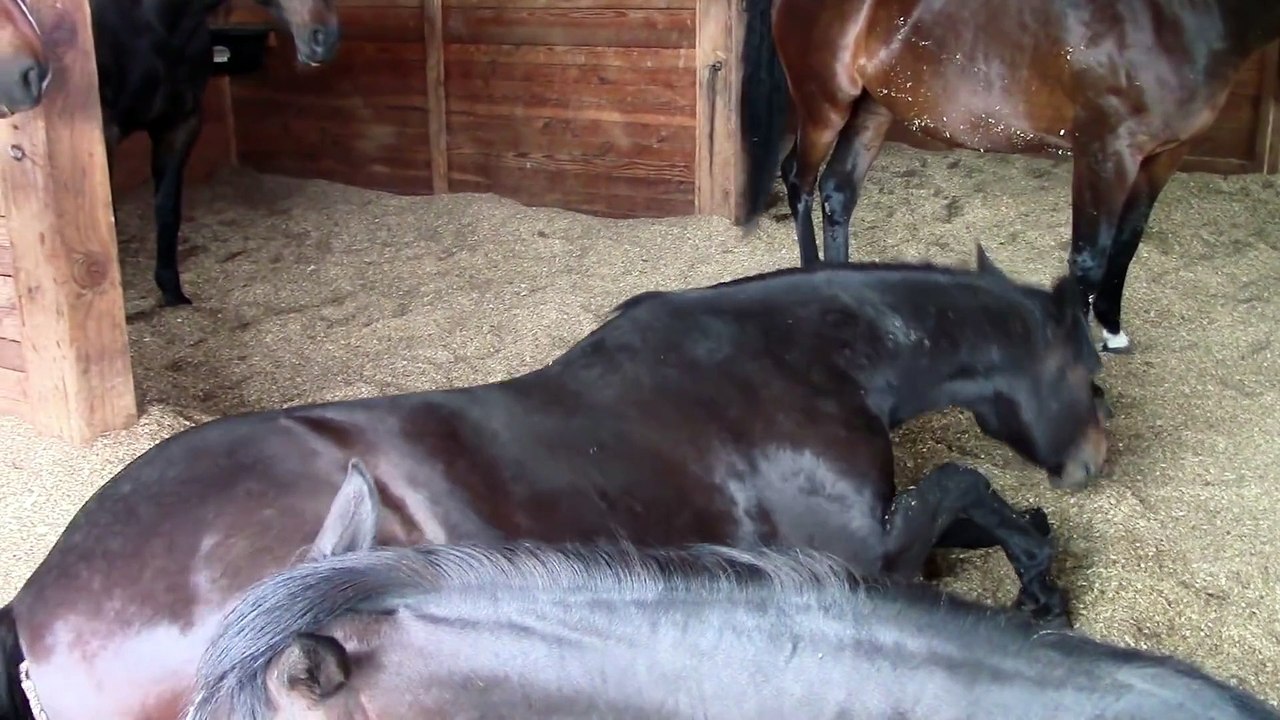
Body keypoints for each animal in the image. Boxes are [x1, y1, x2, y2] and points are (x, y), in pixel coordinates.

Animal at [1, 248, 1110, 719]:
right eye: (1090, 371)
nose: (1099, 455)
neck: (800, 358)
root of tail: (35, 606)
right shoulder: (857, 553)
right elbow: (962, 486)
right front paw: (1039, 580)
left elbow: (970, 507)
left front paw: (1036, 574)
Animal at [94, 0, 341, 307]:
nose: (325, 38)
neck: (155, 25)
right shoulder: (105, 134)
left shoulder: (180, 125)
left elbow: (168, 209)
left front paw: (172, 291)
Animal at [739, 0, 1280, 354]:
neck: (1170, 18)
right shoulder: (1106, 150)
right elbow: (1088, 258)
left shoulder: (1164, 156)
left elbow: (1127, 243)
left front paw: (1113, 328)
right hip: (825, 104)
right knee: (799, 181)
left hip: (873, 107)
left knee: (838, 192)